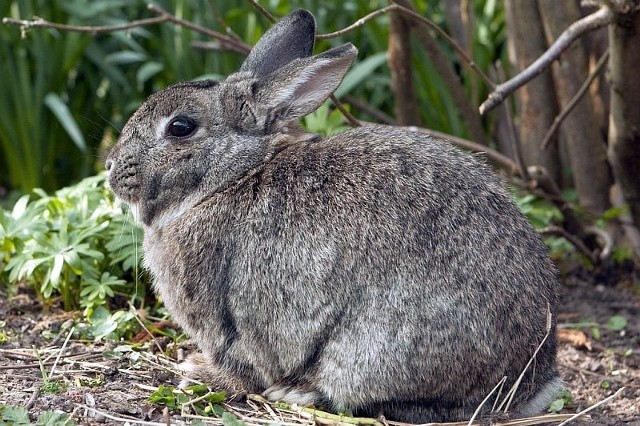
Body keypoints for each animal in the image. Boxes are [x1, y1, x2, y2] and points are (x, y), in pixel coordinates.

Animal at [107, 8, 564, 422]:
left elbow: (243, 367)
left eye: (181, 127)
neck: (233, 175)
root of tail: (529, 384)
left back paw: (301, 393)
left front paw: (199, 372)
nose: (111, 166)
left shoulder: (227, 323)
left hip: (376, 349)